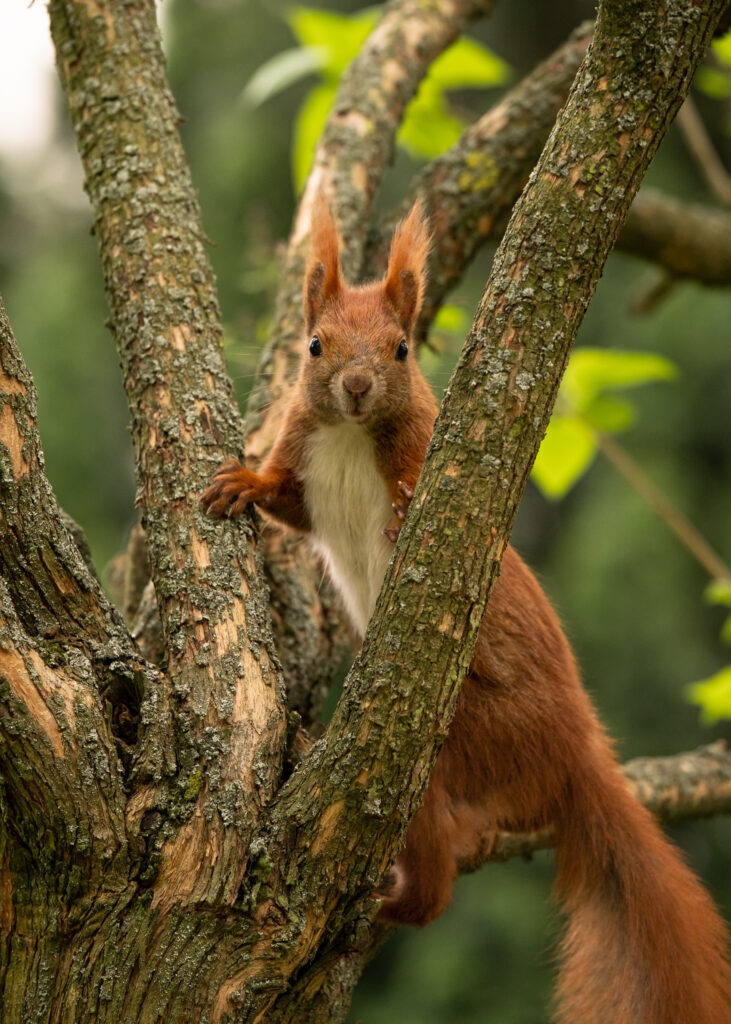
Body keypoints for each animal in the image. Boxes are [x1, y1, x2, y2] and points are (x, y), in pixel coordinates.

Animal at [202, 200, 731, 1024]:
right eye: (315, 345)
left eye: (400, 349)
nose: (357, 385)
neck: (351, 436)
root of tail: (574, 751)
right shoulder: (306, 467)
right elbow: (286, 505)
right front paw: (242, 485)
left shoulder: (425, 459)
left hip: (458, 744)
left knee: (432, 877)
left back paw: (392, 900)